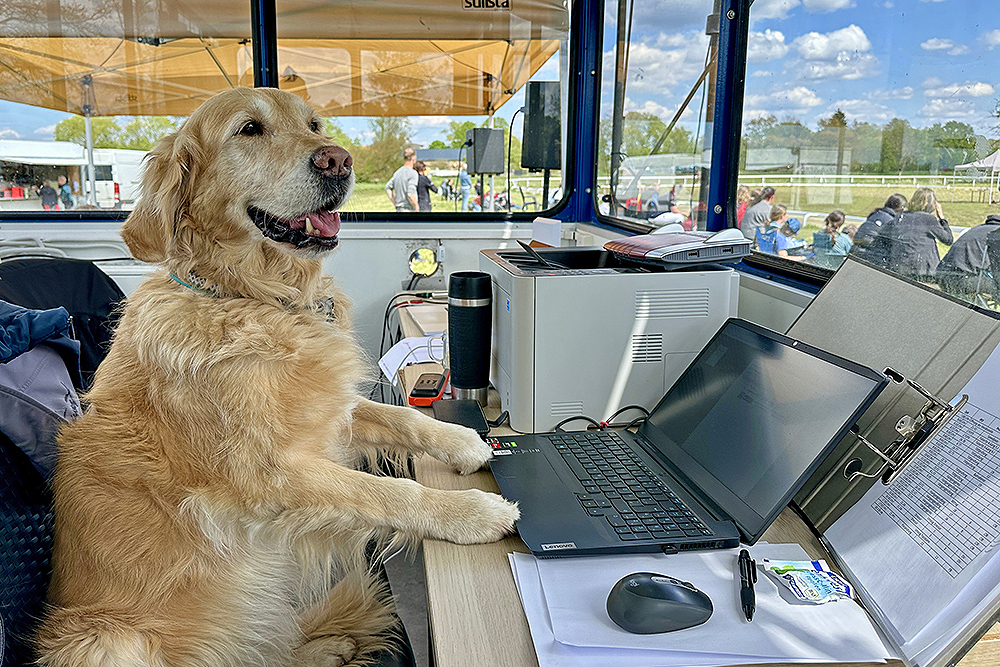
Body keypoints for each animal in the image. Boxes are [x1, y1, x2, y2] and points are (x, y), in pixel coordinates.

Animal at [35, 88, 520, 667]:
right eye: (249, 129)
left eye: (314, 125)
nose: (338, 160)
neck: (259, 298)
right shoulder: (271, 475)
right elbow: (387, 492)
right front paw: (470, 511)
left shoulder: (331, 411)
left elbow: (402, 417)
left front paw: (464, 441)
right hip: (107, 642)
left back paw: (330, 645)